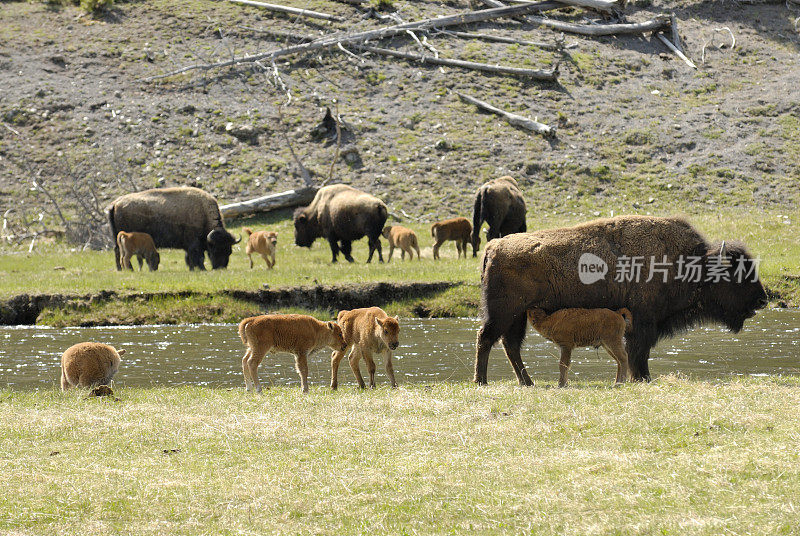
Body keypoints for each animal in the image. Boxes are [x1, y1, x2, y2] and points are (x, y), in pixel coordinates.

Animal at [108, 188, 241, 272]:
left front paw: (192, 269)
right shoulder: (194, 244)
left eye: (229, 251)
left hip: (117, 238)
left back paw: (121, 269)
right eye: (216, 249)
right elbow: (198, 257)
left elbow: (189, 258)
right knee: (122, 254)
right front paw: (202, 269)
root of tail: (115, 203)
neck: (203, 214)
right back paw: (127, 269)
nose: (221, 268)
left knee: (117, 251)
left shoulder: (189, 246)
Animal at [476, 215, 768, 386]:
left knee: (510, 345)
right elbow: (639, 352)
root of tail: (493, 248)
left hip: (517, 316)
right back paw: (482, 381)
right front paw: (643, 378)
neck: (688, 262)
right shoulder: (643, 323)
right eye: (737, 273)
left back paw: (527, 382)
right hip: (504, 313)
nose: (762, 300)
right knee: (487, 339)